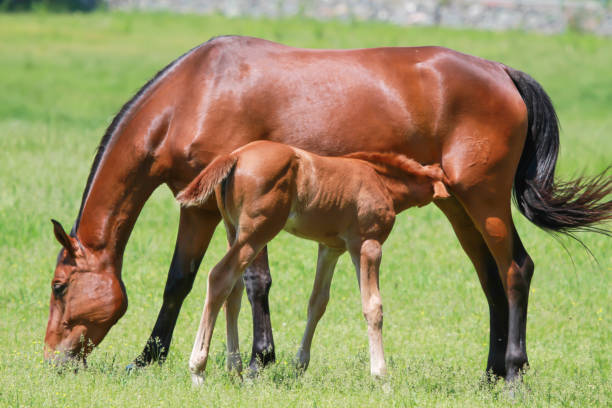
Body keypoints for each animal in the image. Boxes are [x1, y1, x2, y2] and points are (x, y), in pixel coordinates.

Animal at [177, 140, 450, 382]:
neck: (380, 181)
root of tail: (235, 155)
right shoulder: (368, 245)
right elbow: (373, 306)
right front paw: (381, 377)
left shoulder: (331, 249)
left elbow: (317, 302)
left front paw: (299, 366)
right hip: (256, 233)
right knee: (219, 277)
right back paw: (198, 370)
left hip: (232, 231)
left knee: (233, 292)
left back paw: (235, 368)